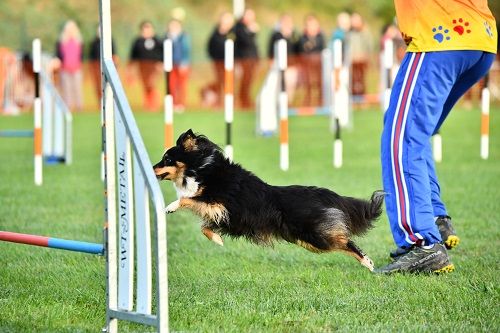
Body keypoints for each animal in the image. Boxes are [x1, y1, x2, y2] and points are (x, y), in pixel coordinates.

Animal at [154, 129, 384, 270]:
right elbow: (204, 227)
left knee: (346, 241)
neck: (202, 169)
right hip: (307, 241)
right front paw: (218, 240)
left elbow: (188, 199)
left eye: (167, 159)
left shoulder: (218, 203)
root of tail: (319, 193)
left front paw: (170, 207)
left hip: (314, 236)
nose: (153, 168)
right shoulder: (222, 214)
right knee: (341, 240)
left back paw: (368, 262)